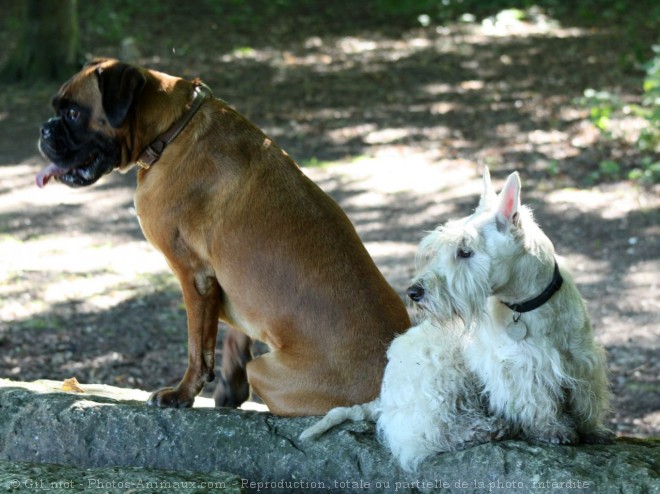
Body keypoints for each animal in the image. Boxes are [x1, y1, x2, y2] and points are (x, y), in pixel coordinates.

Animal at [36, 58, 410, 416]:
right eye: (57, 109)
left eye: (73, 113)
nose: (44, 128)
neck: (172, 131)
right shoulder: (233, 282)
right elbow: (235, 330)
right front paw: (230, 379)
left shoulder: (194, 276)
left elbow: (198, 347)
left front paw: (182, 394)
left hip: (265, 370)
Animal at [302, 170, 612, 470]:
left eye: (465, 251)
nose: (414, 292)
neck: (529, 306)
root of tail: (383, 398)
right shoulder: (518, 368)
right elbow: (536, 402)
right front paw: (553, 429)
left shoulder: (581, 358)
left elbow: (587, 399)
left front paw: (593, 430)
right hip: (441, 380)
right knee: (433, 433)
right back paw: (488, 428)